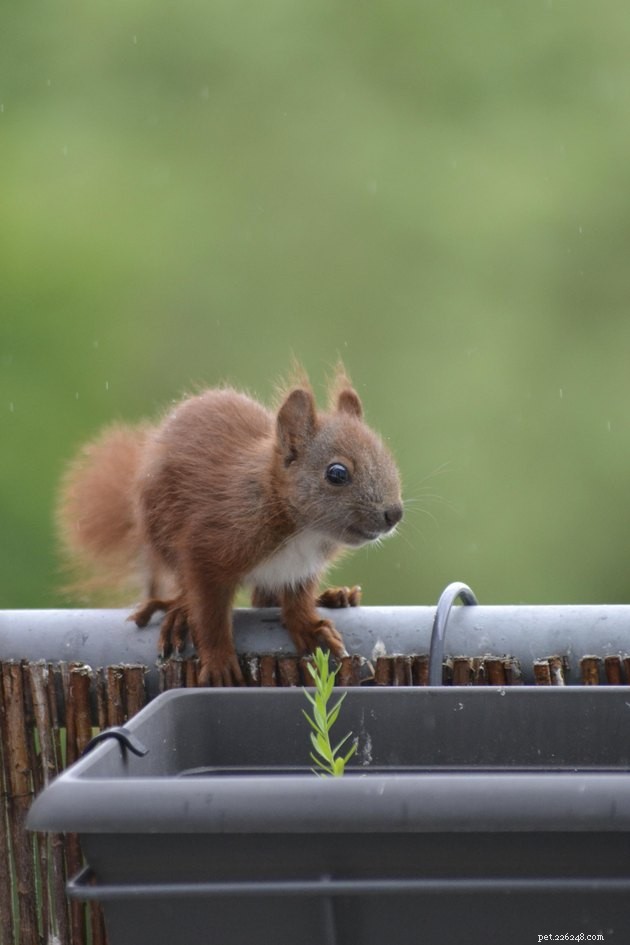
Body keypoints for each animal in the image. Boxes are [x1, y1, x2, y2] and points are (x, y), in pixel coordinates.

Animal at [57, 365, 403, 685]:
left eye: (388, 459)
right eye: (337, 473)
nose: (394, 513)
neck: (301, 529)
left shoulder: (300, 569)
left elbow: (298, 600)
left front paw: (308, 625)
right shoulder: (208, 546)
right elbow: (209, 614)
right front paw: (219, 660)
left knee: (263, 599)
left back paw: (335, 596)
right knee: (188, 589)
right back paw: (178, 610)